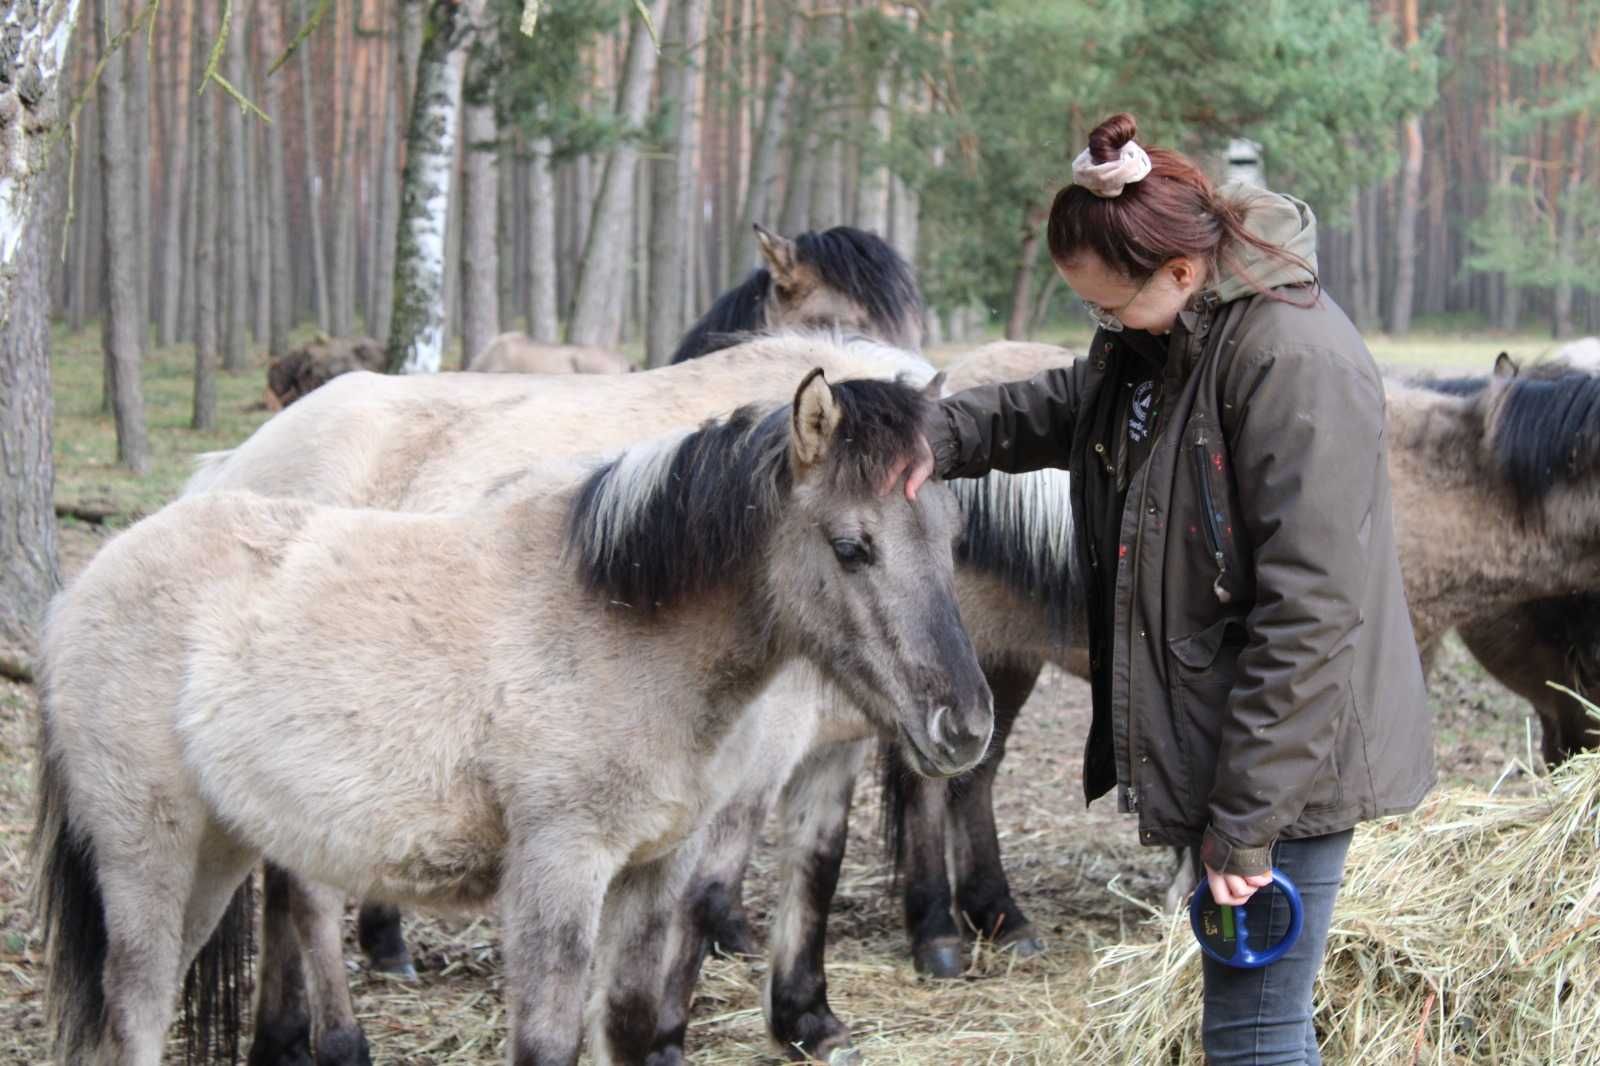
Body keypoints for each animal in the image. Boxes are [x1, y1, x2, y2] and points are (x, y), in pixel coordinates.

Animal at [31, 369, 992, 1062]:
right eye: (852, 546)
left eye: (952, 539)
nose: (965, 726)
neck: (619, 619)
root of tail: (85, 588)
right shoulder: (558, 871)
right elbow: (547, 1043)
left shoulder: (655, 870)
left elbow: (627, 1027)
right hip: (147, 857)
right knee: (139, 1013)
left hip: (218, 853)